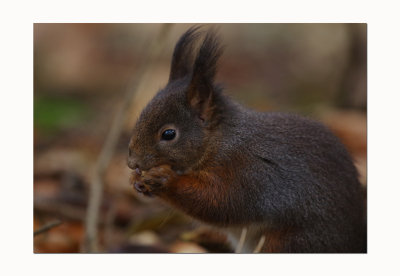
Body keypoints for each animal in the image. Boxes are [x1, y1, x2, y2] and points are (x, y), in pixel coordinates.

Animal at [127, 27, 366, 253]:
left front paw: (164, 179)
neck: (220, 143)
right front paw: (136, 180)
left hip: (291, 243)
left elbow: (221, 202)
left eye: (169, 134)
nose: (132, 163)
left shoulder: (248, 173)